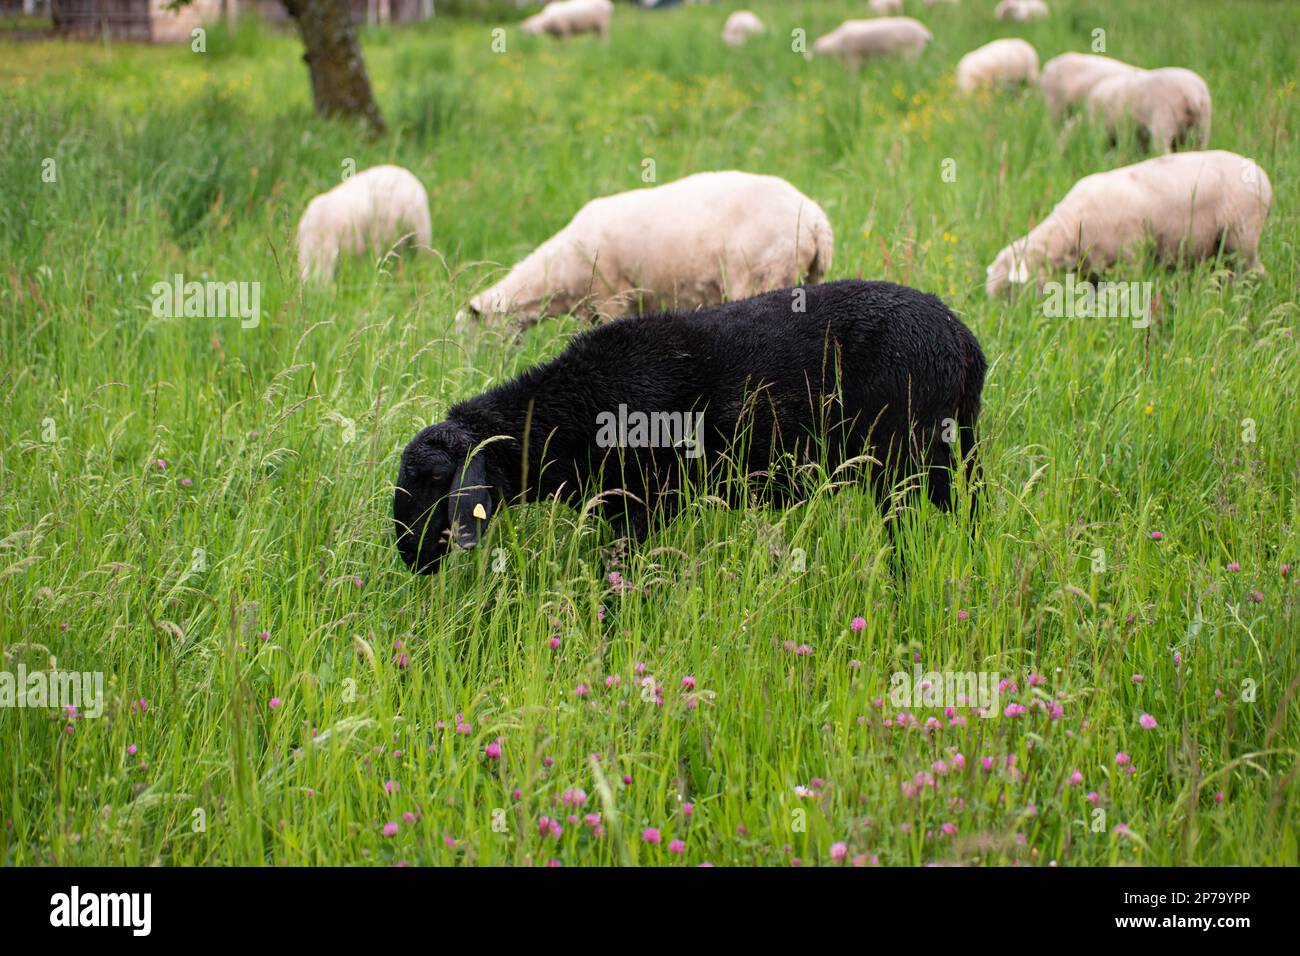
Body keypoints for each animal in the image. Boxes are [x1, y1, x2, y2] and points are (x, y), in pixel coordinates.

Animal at [395, 280, 987, 574]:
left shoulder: (646, 508)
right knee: (973, 513)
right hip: (953, 451)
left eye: (436, 480)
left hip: (902, 462)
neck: (577, 404)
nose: (409, 557)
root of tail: (961, 338)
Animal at [985, 150, 1272, 297]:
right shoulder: (1092, 271)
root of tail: (1261, 173)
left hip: (1242, 237)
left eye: (1010, 291)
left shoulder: (1130, 260)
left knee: (1254, 271)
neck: (1069, 230)